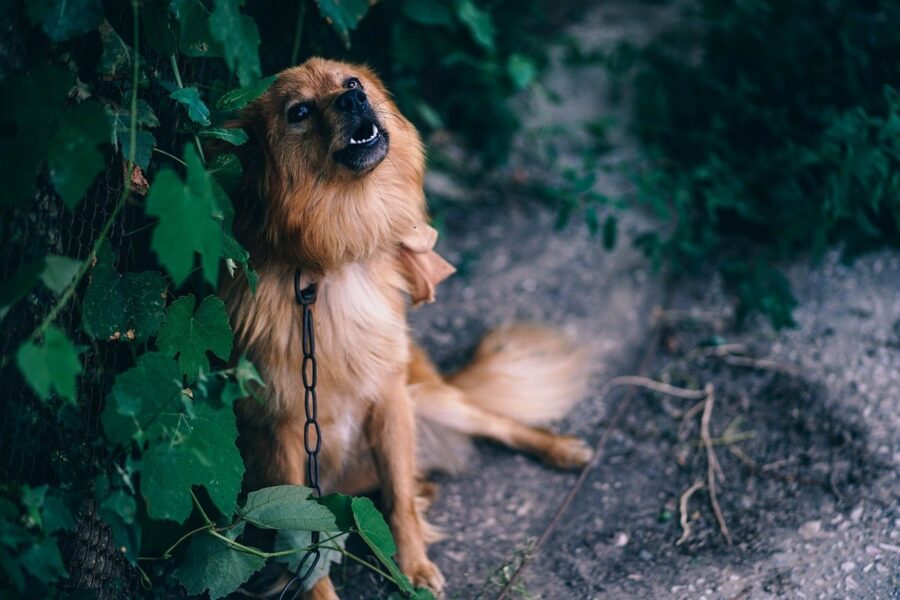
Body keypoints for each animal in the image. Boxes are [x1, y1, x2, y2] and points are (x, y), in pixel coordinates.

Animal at [221, 57, 596, 600]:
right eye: (299, 111)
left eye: (351, 83)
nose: (354, 100)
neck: (329, 263)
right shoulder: (284, 431)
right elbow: (302, 544)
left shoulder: (390, 399)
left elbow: (397, 496)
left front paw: (413, 568)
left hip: (429, 399)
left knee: (497, 422)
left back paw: (561, 449)